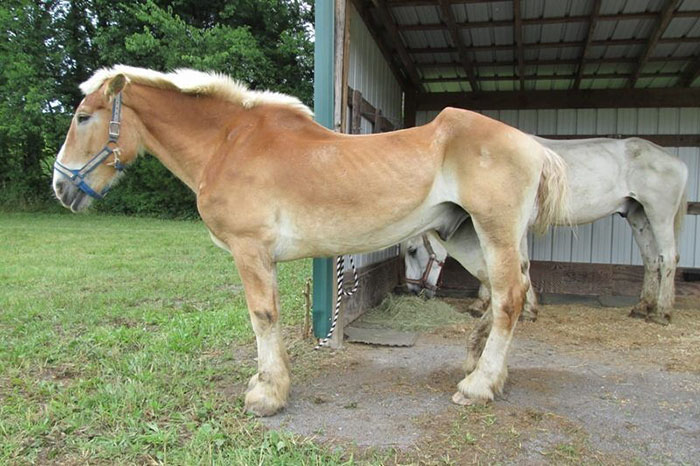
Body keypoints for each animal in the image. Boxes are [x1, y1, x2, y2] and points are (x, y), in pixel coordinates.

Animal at [52, 65, 569, 415]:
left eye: (83, 117)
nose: (60, 187)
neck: (228, 144)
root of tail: (531, 143)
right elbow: (272, 317)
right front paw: (272, 380)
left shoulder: (250, 250)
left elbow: (261, 316)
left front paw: (266, 394)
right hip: (464, 234)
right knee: (505, 296)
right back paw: (483, 370)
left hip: (493, 231)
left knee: (508, 298)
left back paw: (478, 386)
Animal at [405, 136, 688, 328]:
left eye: (412, 250)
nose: (410, 291)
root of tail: (678, 162)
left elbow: (518, 264)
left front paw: (526, 310)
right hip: (638, 216)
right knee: (651, 260)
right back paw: (642, 308)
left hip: (659, 214)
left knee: (668, 258)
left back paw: (661, 313)